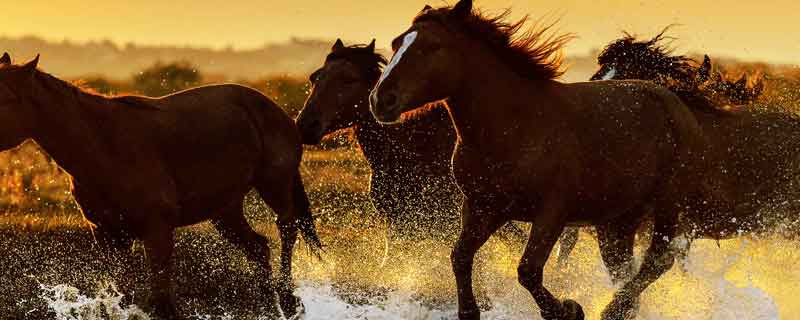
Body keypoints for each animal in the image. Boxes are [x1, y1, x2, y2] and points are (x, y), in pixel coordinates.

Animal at [0, 53, 322, 318]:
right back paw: (270, 304)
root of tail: (278, 112)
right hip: (225, 210)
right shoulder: (108, 234)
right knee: (258, 248)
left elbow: (161, 302)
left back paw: (289, 299)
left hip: (274, 185)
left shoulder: (157, 231)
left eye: (5, 98)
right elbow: (126, 296)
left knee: (287, 229)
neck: (104, 145)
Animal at [368, 1, 712, 318]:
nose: (381, 100)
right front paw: (469, 311)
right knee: (624, 268)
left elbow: (528, 270)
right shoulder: (483, 208)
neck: (515, 129)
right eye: (397, 43)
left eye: (432, 46)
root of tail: (675, 103)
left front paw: (569, 309)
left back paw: (612, 308)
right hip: (618, 219)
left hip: (668, 203)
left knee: (658, 260)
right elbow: (460, 257)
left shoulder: (552, 213)